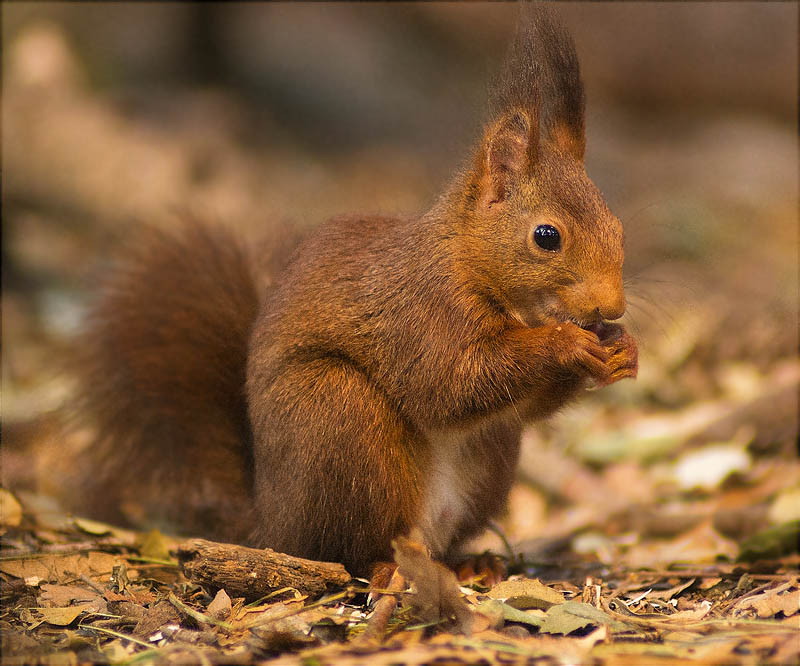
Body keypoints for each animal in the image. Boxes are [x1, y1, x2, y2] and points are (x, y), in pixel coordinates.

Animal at [65, 5, 636, 576]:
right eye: (547, 237)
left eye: (618, 227)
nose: (612, 306)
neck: (471, 267)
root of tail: (270, 523)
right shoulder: (417, 313)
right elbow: (451, 383)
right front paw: (566, 344)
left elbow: (518, 405)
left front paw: (622, 349)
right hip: (340, 417)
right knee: (351, 547)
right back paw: (387, 569)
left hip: (490, 458)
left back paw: (470, 564)